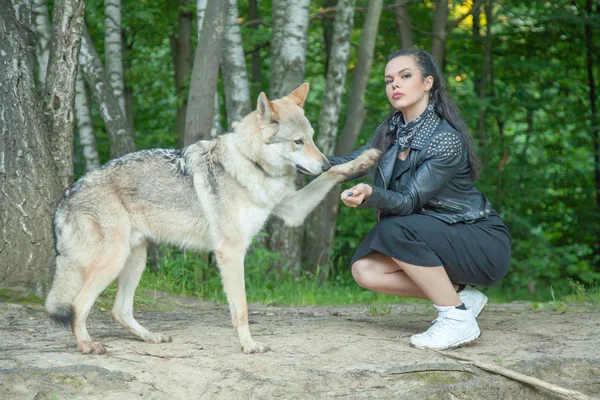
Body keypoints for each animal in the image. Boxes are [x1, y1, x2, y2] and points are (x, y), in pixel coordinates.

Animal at [45, 83, 380, 354]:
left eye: (311, 139)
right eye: (298, 142)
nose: (323, 163)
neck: (250, 164)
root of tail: (64, 197)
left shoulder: (293, 210)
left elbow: (334, 176)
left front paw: (363, 160)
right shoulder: (230, 252)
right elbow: (241, 308)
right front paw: (248, 345)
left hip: (135, 259)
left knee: (119, 310)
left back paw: (151, 337)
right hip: (113, 261)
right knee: (77, 305)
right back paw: (87, 346)